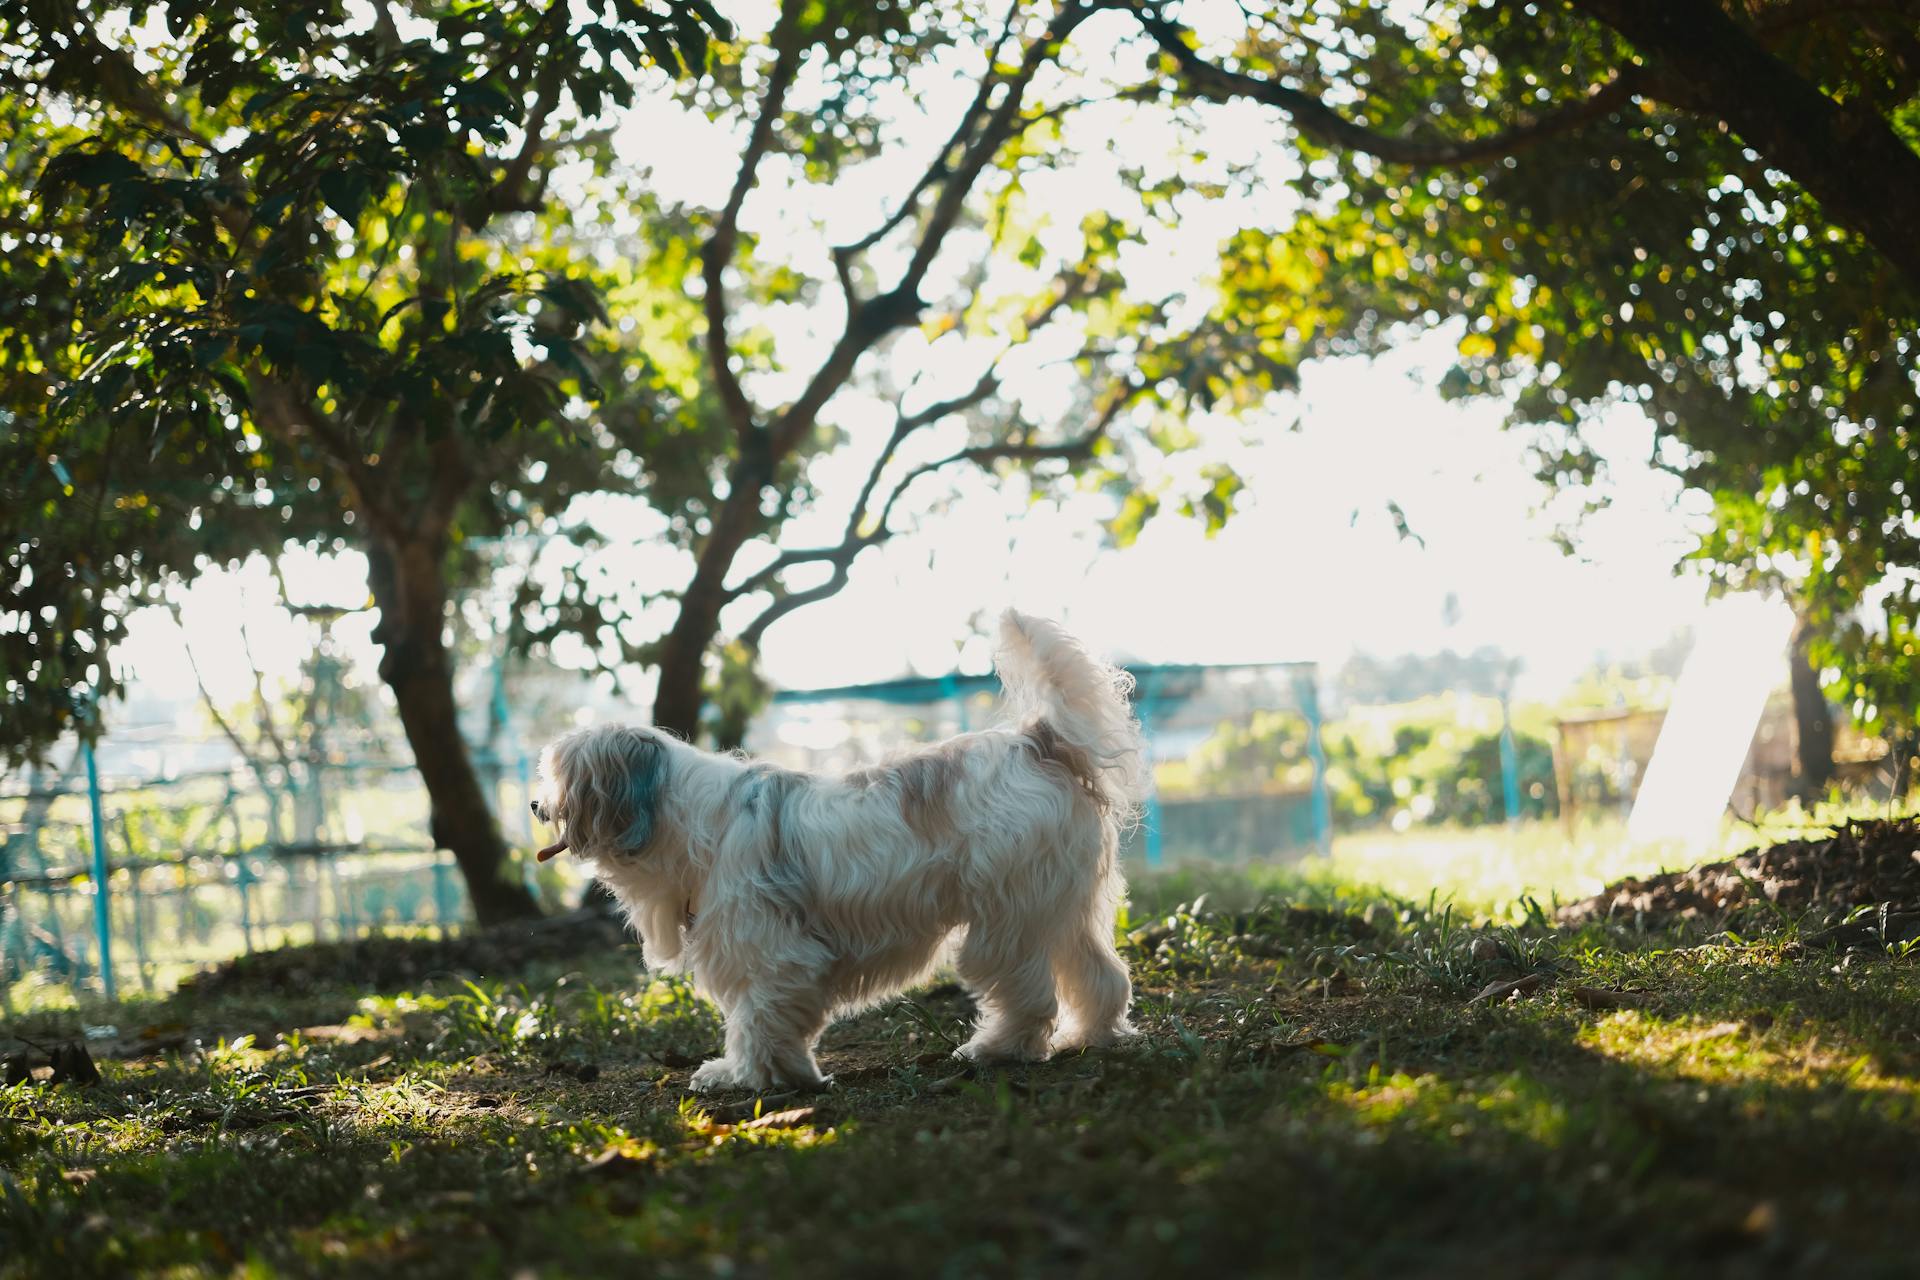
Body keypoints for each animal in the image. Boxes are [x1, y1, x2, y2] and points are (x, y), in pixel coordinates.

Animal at [533, 610, 1144, 1090]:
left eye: (559, 776)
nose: (538, 806)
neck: (689, 817)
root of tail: (1036, 741)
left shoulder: (775, 953)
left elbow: (755, 1019)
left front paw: (745, 1076)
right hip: (1060, 906)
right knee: (1099, 975)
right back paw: (1090, 1037)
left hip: (1007, 919)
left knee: (1028, 993)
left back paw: (997, 1049)